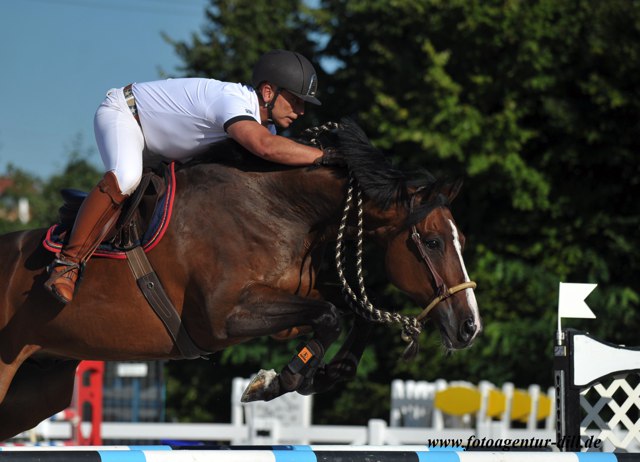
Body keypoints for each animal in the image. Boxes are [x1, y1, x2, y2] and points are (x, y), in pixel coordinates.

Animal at [0, 120, 480, 440]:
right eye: (433, 242)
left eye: (461, 240)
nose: (469, 327)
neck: (277, 206)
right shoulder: (222, 318)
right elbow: (329, 315)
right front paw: (276, 382)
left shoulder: (281, 302)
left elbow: (347, 313)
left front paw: (324, 373)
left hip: (39, 386)